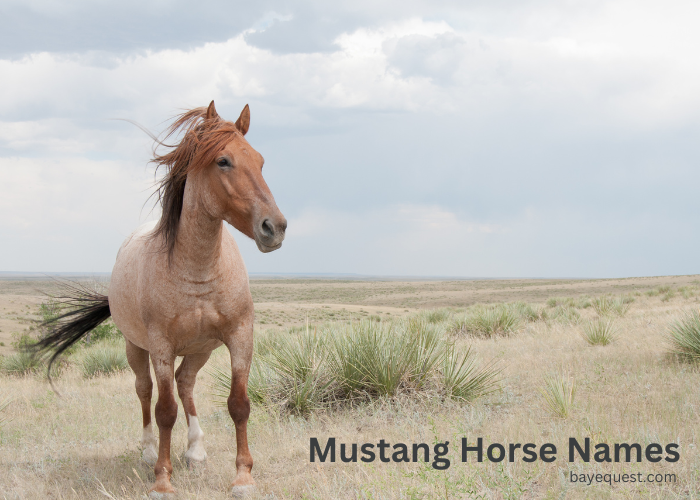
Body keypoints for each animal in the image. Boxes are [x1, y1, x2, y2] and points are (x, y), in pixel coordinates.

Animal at [32, 100, 284, 496]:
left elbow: (238, 403)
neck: (197, 269)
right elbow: (165, 411)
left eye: (259, 161)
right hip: (136, 347)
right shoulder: (161, 345)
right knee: (146, 391)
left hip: (199, 349)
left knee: (186, 383)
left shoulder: (240, 335)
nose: (274, 227)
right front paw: (162, 480)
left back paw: (195, 451)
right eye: (223, 161)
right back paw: (149, 452)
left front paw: (243, 478)